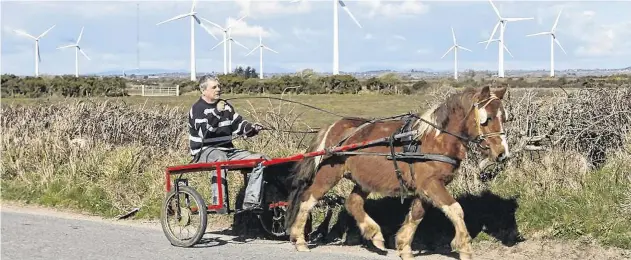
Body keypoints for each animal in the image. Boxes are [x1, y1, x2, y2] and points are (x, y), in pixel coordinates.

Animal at [284, 86, 512, 260]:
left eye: (504, 118)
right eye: (486, 119)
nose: (502, 153)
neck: (435, 139)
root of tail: (334, 127)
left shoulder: (425, 187)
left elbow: (417, 214)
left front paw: (404, 246)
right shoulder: (431, 184)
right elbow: (456, 210)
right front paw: (464, 247)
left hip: (364, 180)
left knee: (353, 203)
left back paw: (374, 234)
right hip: (328, 175)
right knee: (308, 200)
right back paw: (299, 239)